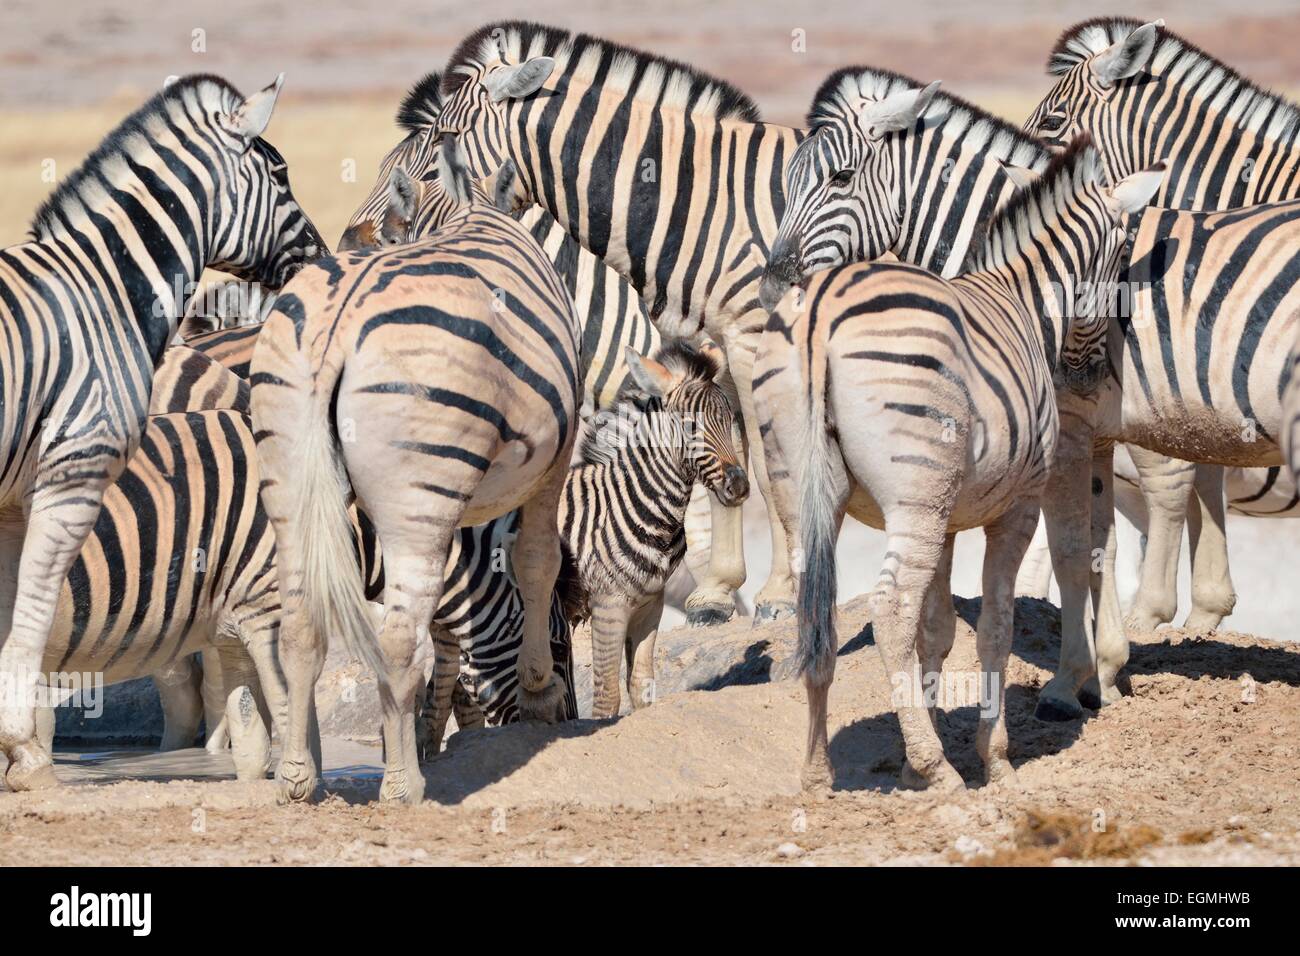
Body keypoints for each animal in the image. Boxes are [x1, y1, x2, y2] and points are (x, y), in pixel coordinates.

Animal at [0, 74, 322, 790]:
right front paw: (25, 752)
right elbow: (33, 609)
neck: (104, 289)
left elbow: (11, 609)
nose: (322, 259)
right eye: (281, 176)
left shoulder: (11, 500)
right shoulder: (74, 469)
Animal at [759, 138, 1164, 790]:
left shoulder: (946, 521)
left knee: (812, 611)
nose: (1090, 377)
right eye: (1124, 254)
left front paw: (906, 764)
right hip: (913, 496)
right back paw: (940, 769)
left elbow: (937, 631)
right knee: (890, 610)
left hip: (805, 492)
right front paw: (989, 757)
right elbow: (994, 626)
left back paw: (818, 771)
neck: (1023, 299)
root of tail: (818, 307)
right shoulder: (1016, 506)